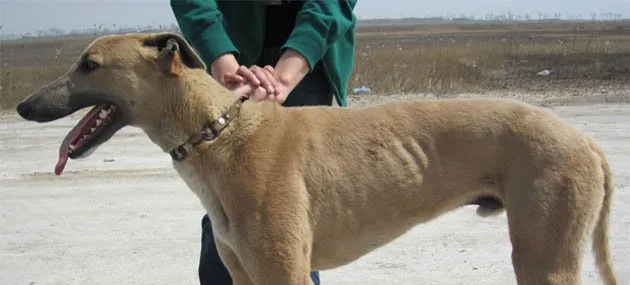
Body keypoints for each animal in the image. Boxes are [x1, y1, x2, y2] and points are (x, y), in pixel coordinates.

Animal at [16, 32, 624, 282]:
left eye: (90, 65)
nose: (22, 105)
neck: (221, 133)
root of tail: (586, 140)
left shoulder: (283, 272)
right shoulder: (245, 275)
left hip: (546, 259)